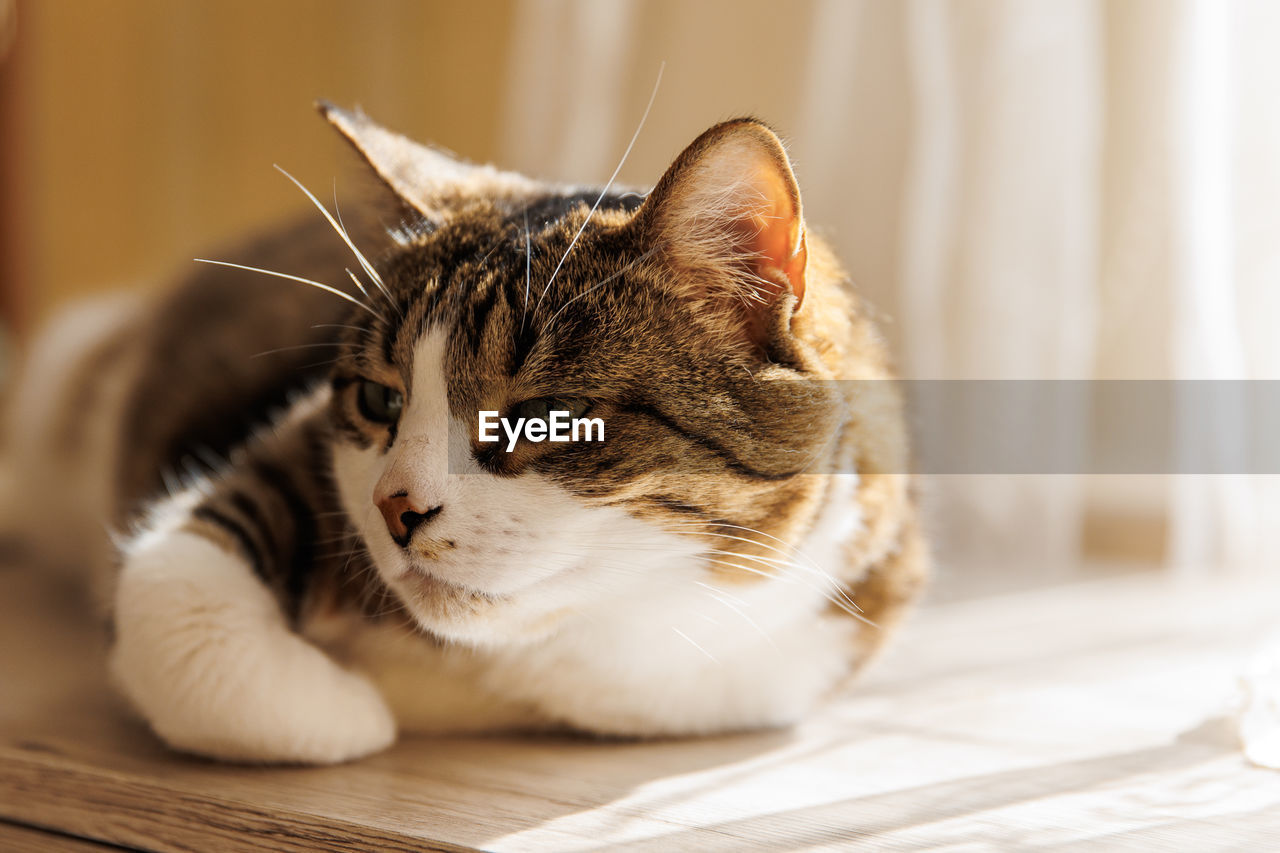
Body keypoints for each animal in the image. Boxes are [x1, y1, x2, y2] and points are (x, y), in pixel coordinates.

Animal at [0, 103, 926, 758]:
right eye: (380, 402)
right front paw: (349, 708)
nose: (393, 509)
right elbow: (176, 604)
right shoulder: (285, 455)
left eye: (536, 418)